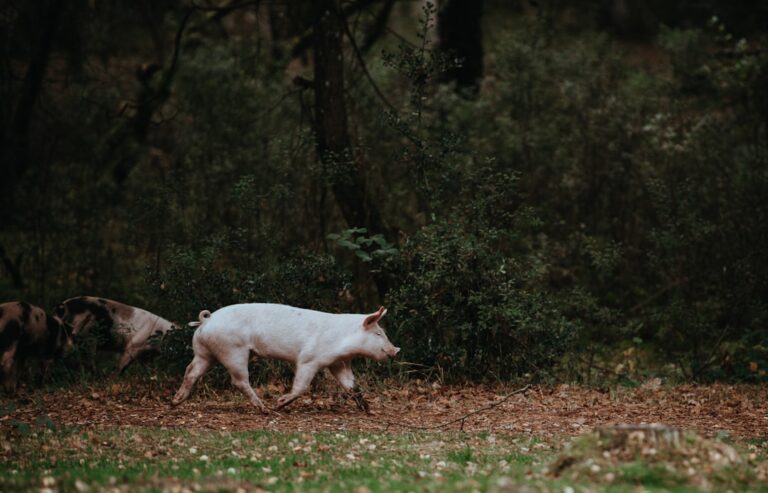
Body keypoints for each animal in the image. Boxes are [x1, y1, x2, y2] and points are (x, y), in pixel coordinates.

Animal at [171, 304, 399, 412]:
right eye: (378, 333)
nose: (396, 350)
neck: (343, 341)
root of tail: (207, 320)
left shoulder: (339, 363)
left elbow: (352, 386)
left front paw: (368, 410)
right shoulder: (309, 359)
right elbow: (302, 386)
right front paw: (280, 403)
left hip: (204, 352)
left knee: (191, 371)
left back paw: (175, 401)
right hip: (233, 351)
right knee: (239, 381)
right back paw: (266, 409)